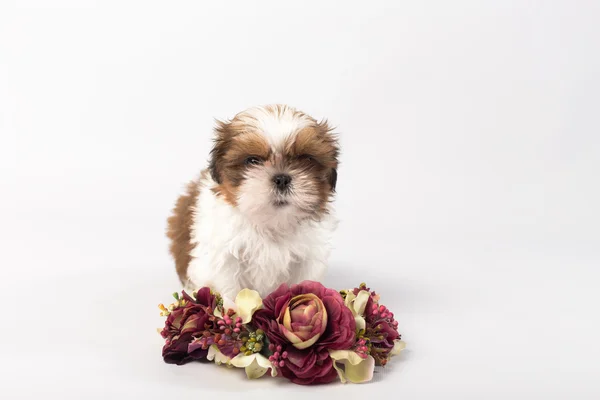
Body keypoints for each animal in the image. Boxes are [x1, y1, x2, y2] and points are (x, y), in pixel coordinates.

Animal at [166, 104, 340, 298]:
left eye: (306, 159)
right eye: (252, 160)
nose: (282, 178)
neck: (272, 223)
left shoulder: (308, 257)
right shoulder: (223, 257)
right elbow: (229, 290)